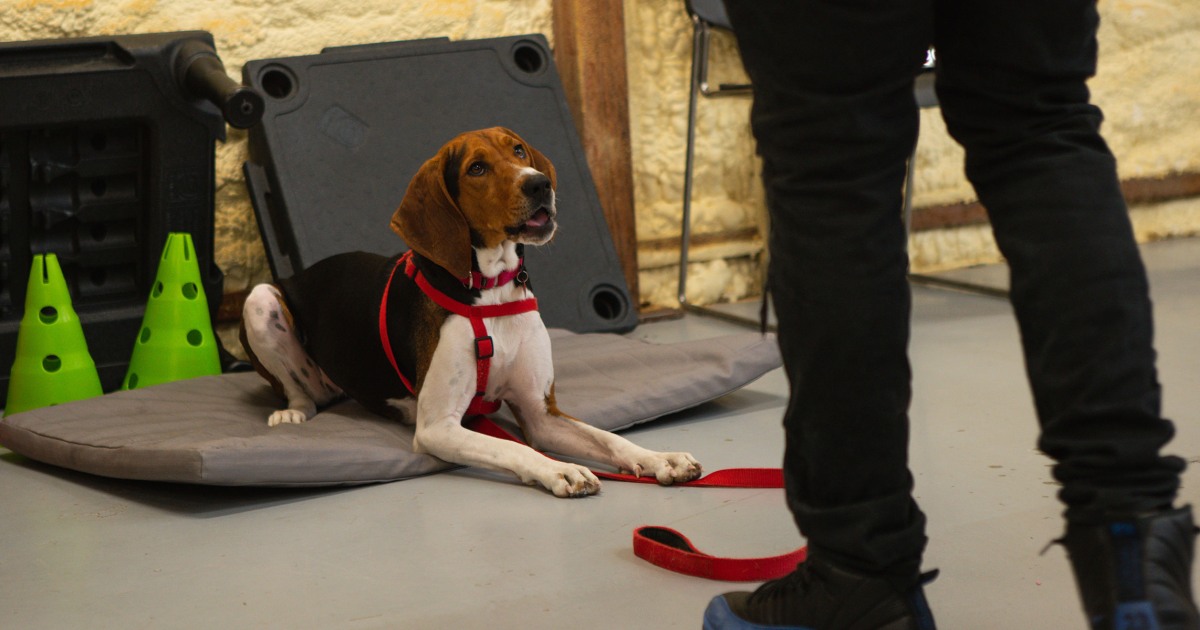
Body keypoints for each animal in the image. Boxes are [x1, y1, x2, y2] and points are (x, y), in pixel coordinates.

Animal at [236, 125, 700, 496]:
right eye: (476, 168)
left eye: (518, 151)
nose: (539, 184)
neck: (492, 291)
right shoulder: (437, 426)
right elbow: (510, 446)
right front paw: (560, 469)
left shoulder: (541, 414)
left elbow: (607, 438)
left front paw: (659, 458)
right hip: (260, 301)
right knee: (300, 390)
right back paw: (293, 411)